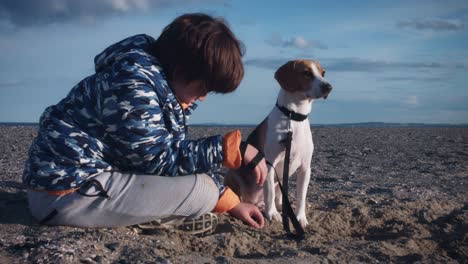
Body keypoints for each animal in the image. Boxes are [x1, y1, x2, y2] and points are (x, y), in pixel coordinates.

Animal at [226, 59, 332, 227]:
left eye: (323, 73)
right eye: (307, 73)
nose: (328, 87)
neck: (293, 118)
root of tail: (255, 201)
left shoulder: (305, 168)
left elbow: (301, 196)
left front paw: (300, 217)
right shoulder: (269, 165)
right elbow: (268, 191)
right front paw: (272, 214)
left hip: (280, 182)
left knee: (276, 197)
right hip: (234, 174)